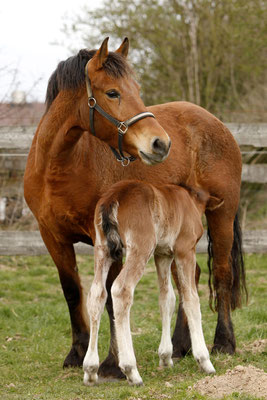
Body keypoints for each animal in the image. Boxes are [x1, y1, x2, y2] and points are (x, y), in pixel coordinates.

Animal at [83, 180, 222, 386]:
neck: (189, 199)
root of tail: (113, 197)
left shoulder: (163, 254)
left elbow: (167, 298)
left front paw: (165, 357)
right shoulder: (184, 250)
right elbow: (191, 297)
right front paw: (204, 361)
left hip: (102, 249)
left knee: (97, 294)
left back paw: (90, 369)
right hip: (141, 247)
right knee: (121, 289)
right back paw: (131, 370)